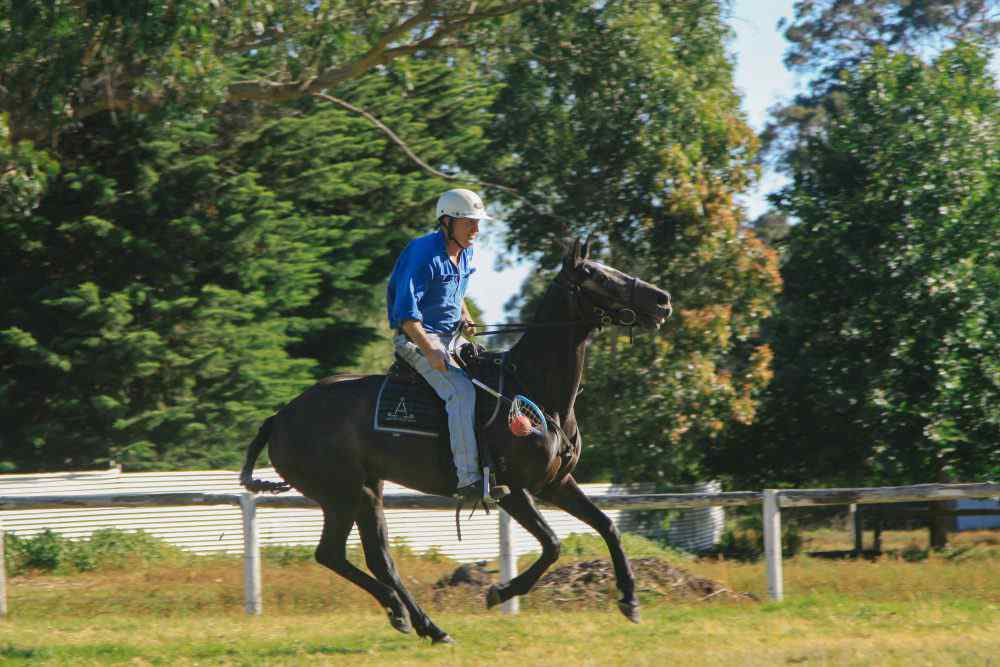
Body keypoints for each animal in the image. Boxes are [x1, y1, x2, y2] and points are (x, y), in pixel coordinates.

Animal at [240, 239, 671, 644]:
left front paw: (630, 599)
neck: (533, 388)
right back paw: (409, 614)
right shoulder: (512, 490)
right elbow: (552, 545)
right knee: (337, 554)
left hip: (366, 492)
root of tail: (279, 418)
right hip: (342, 495)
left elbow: (607, 526)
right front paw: (500, 592)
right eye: (596, 276)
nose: (662, 300)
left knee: (373, 560)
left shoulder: (556, 483)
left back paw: (420, 622)